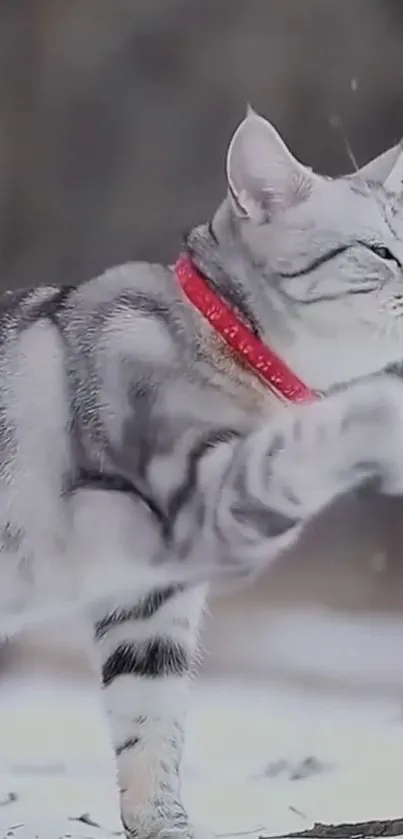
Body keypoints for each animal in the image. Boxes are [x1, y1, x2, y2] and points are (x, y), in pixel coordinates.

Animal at [2, 106, 403, 839]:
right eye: (380, 251)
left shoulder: (150, 596)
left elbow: (149, 714)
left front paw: (165, 821)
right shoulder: (195, 492)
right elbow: (292, 451)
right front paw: (384, 413)